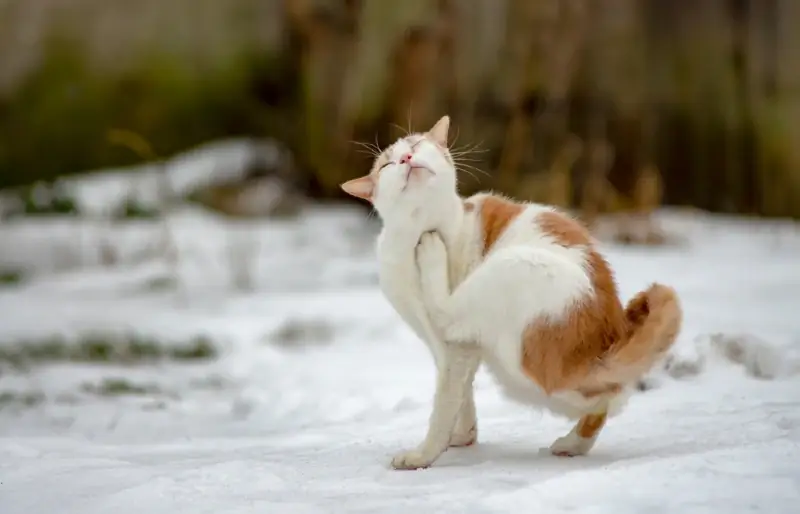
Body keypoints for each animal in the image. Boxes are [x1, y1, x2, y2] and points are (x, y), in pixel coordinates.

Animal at [340, 115, 684, 468]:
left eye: (415, 145)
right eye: (387, 164)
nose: (407, 158)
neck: (413, 236)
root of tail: (608, 338)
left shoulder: (456, 347)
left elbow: (444, 406)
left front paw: (424, 454)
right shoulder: (442, 348)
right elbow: (461, 396)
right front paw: (462, 436)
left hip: (511, 278)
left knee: (606, 396)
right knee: (609, 397)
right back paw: (573, 444)